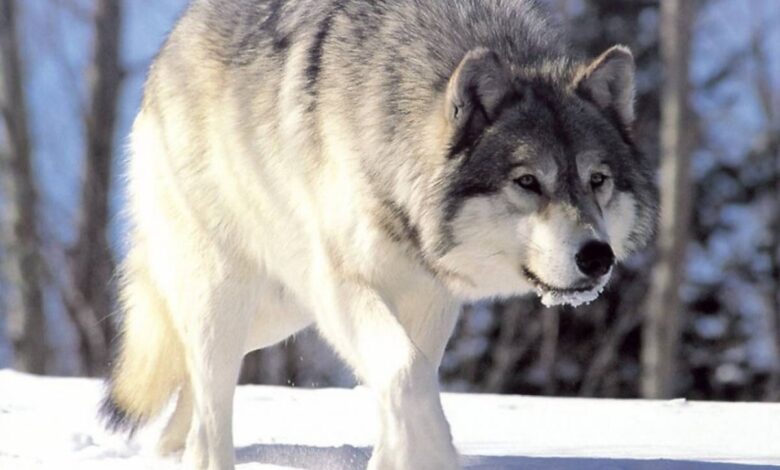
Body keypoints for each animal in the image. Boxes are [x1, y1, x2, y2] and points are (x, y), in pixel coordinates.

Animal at [97, 0, 660, 468]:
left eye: (597, 181)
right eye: (527, 182)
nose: (598, 258)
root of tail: (172, 43)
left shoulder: (430, 296)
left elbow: (407, 385)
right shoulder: (342, 286)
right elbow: (408, 374)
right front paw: (437, 453)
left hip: (279, 313)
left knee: (189, 382)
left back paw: (164, 450)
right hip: (231, 295)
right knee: (209, 406)